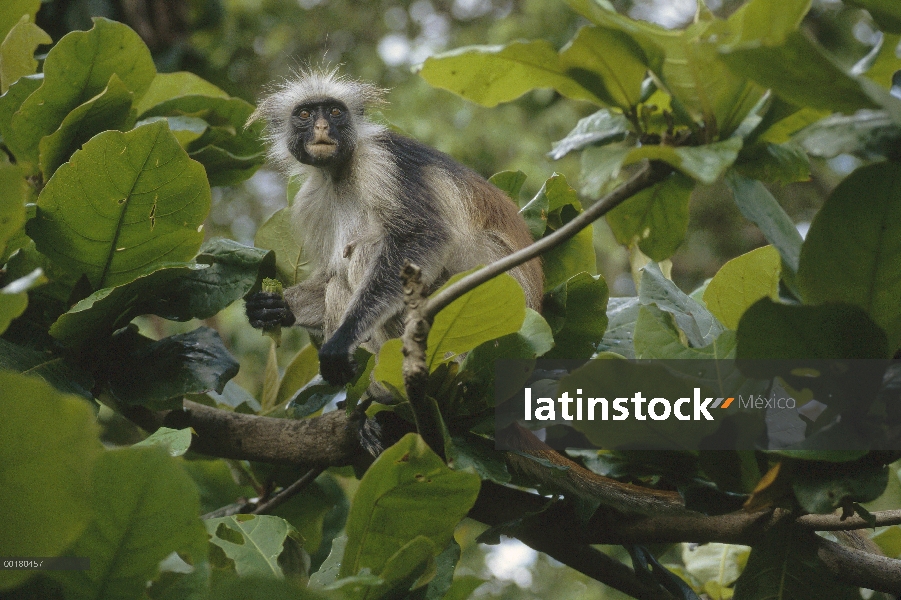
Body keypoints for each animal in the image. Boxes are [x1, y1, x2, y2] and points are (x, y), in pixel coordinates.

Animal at [243, 69, 544, 384]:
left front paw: (343, 338)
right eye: (305, 114)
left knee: (367, 252)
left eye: (335, 111)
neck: (339, 172)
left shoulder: (379, 161)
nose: (322, 126)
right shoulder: (312, 199)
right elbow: (330, 274)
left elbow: (423, 236)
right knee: (339, 282)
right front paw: (275, 307)